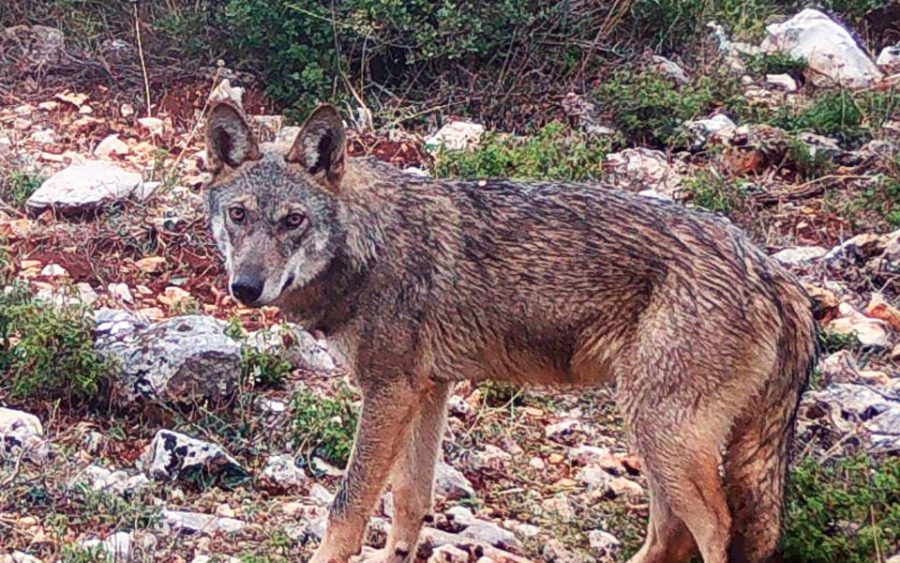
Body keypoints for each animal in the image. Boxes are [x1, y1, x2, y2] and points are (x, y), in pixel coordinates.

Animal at [202, 101, 816, 563]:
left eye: (293, 221)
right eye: (239, 215)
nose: (246, 287)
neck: (367, 247)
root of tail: (773, 273)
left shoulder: (389, 391)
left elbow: (348, 505)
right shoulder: (428, 390)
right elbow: (410, 499)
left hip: (662, 433)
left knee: (714, 530)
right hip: (657, 437)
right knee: (672, 538)